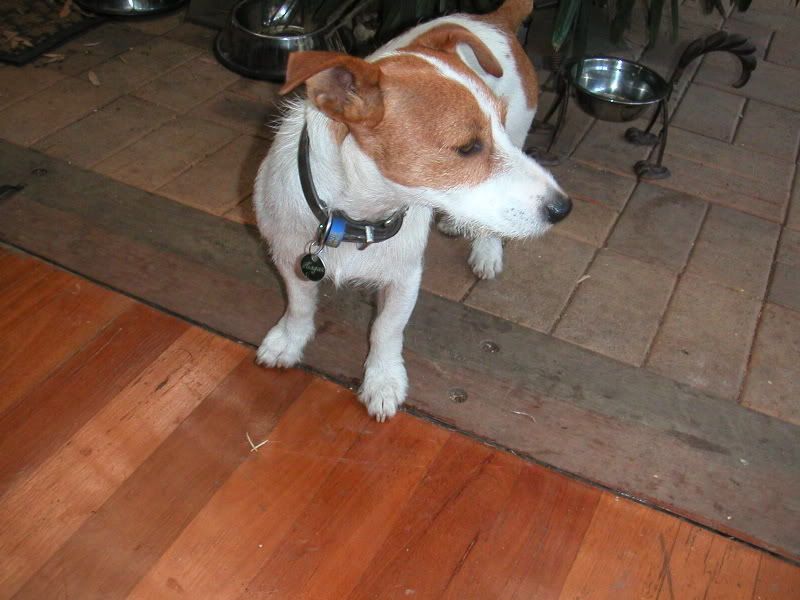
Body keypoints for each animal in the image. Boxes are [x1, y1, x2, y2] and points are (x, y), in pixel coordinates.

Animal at [253, 0, 571, 421]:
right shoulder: (289, 257)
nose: (563, 208)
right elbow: (300, 305)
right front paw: (289, 341)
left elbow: (386, 330)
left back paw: (486, 250)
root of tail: (492, 19)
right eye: (468, 147)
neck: (355, 219)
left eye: (497, 128)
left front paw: (383, 380)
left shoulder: (405, 278)